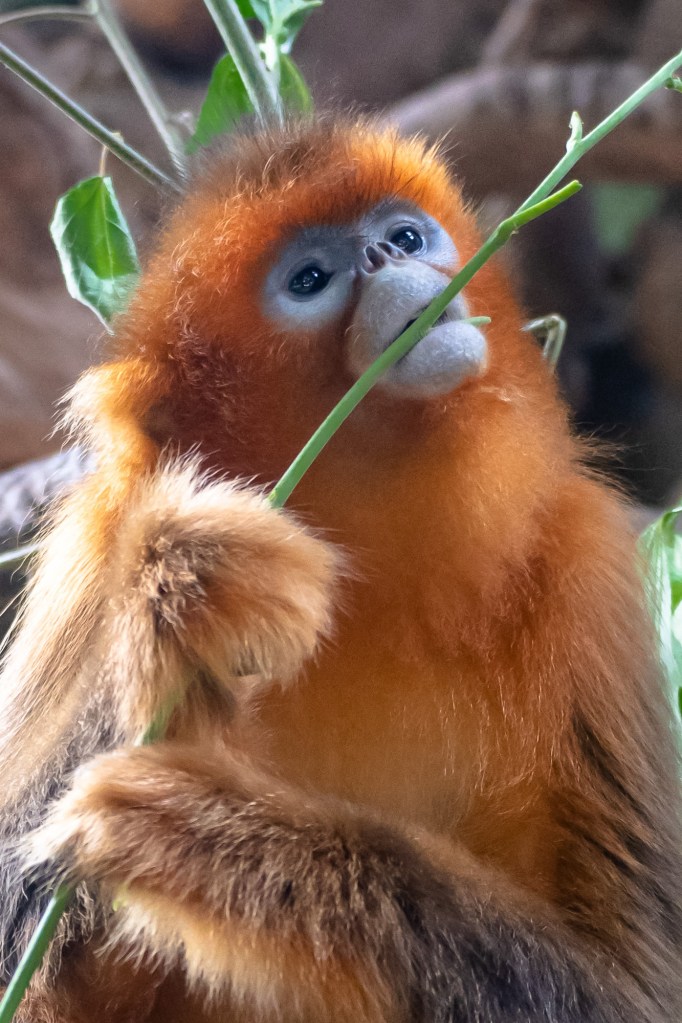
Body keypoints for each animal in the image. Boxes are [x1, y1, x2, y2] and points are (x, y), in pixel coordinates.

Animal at [0, 117, 680, 1023]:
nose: (388, 259)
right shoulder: (99, 541)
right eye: (310, 279)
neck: (373, 577)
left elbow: (630, 989)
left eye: (406, 236)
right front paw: (186, 590)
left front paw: (224, 836)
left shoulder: (585, 557)